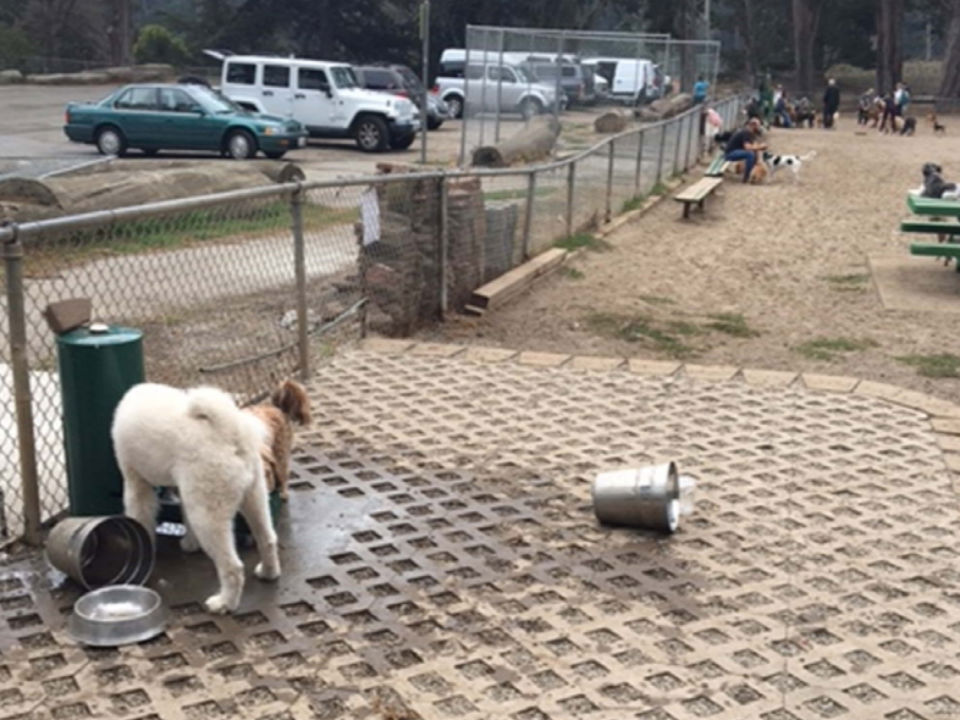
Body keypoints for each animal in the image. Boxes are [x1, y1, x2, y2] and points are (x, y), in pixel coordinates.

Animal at [111, 382, 282, 612]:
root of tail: (229, 431)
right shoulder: (186, 489)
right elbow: (184, 515)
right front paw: (190, 544)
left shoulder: (136, 482)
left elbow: (140, 517)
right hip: (254, 497)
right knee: (268, 539)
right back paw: (268, 573)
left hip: (208, 516)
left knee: (233, 567)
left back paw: (224, 603)